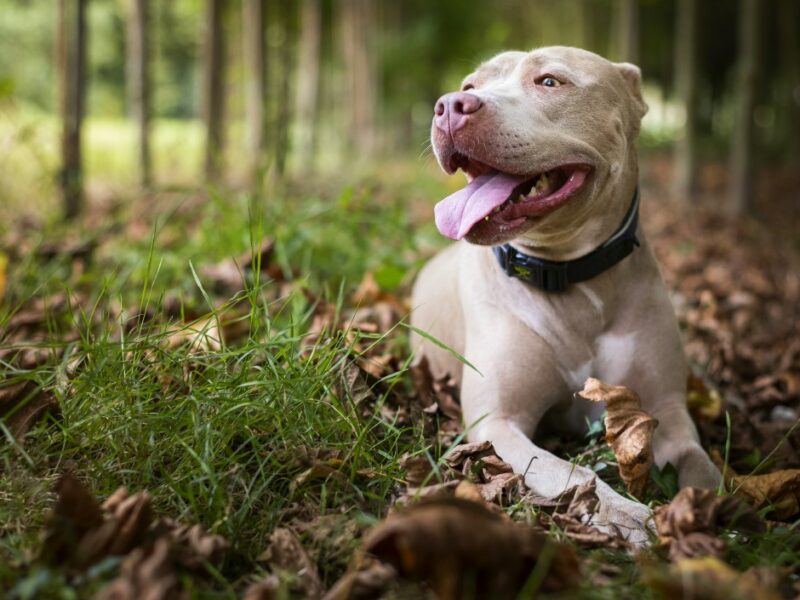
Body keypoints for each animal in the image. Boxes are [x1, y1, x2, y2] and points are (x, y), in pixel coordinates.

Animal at [410, 48, 720, 544]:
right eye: (470, 86)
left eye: (551, 81)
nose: (450, 106)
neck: (569, 275)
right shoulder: (497, 421)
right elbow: (572, 473)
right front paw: (625, 514)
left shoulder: (667, 408)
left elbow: (702, 467)